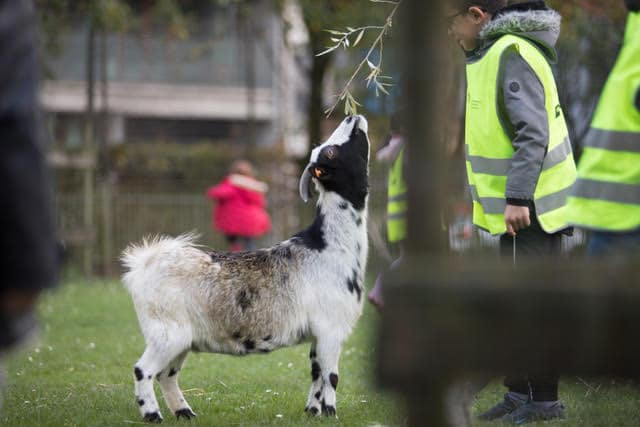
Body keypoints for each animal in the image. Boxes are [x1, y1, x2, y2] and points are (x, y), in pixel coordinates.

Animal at [122, 115, 370, 422]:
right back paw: (153, 415)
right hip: (166, 330)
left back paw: (185, 412)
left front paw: (312, 412)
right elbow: (331, 376)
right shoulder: (331, 327)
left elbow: (315, 374)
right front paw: (331, 414)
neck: (328, 246)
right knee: (143, 370)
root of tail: (144, 264)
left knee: (167, 374)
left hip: (181, 337)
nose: (352, 117)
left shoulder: (317, 334)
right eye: (331, 152)